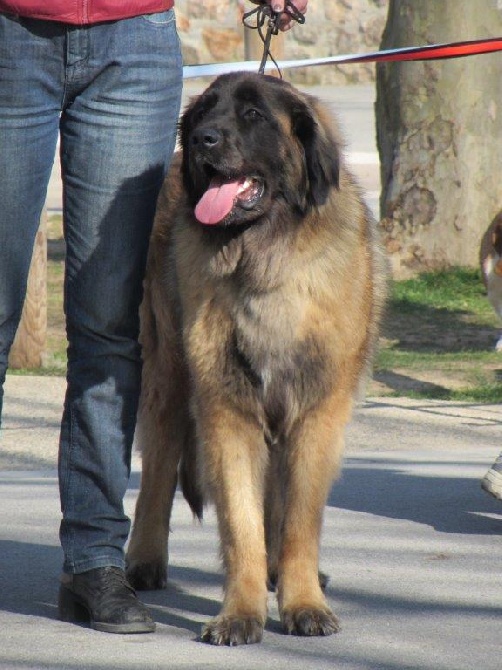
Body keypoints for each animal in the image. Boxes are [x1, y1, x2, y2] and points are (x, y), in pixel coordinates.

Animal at [125, 72, 388, 644]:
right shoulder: (228, 409)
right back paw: (143, 561)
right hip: (168, 376)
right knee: (157, 470)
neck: (265, 260)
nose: (201, 140)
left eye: (252, 115)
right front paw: (240, 613)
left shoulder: (315, 413)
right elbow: (240, 522)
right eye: (204, 111)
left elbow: (298, 522)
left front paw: (303, 601)